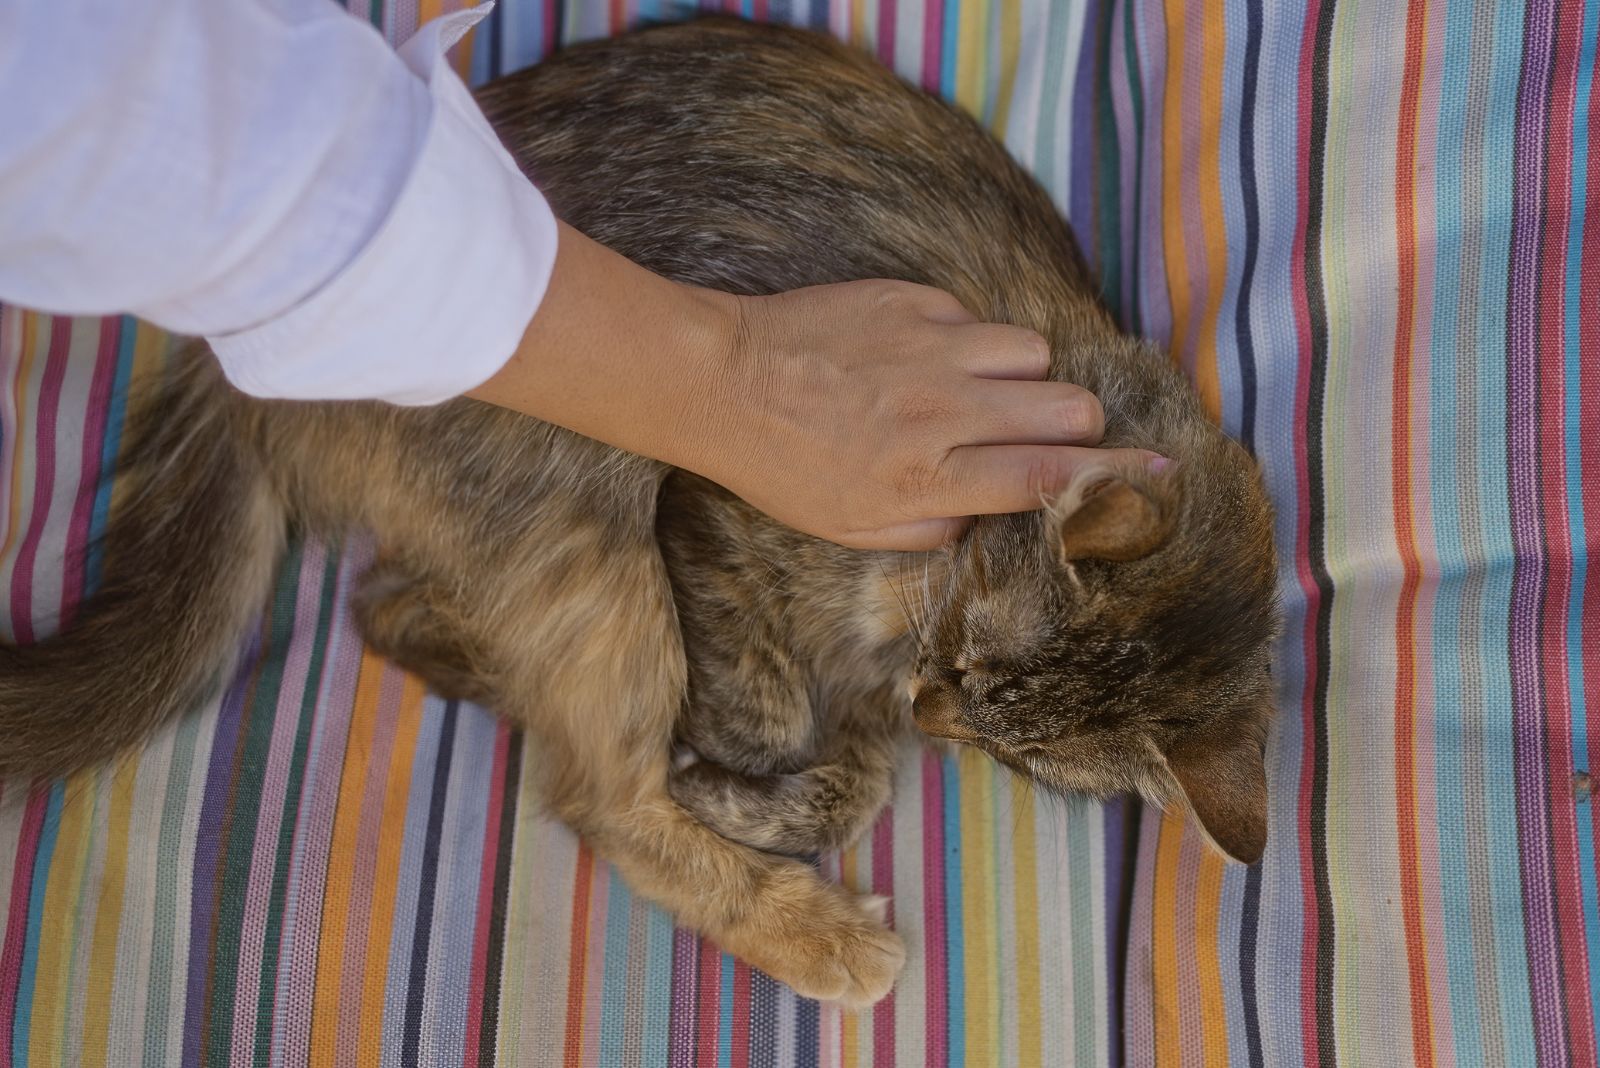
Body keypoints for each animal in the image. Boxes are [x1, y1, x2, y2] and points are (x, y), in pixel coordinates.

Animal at [0, 18, 1273, 1010]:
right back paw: (812, 930)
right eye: (966, 656)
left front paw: (789, 781)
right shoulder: (717, 498)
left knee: (393, 610)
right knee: (595, 795)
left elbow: (853, 779)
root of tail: (243, 366)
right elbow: (772, 723)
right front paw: (730, 762)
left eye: (1015, 752)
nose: (934, 707)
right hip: (590, 530)